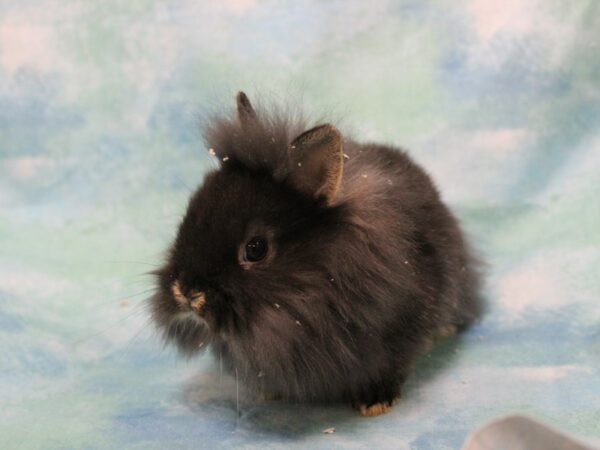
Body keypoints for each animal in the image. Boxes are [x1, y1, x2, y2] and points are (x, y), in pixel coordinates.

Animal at [151, 92, 482, 418]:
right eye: (188, 218)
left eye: (256, 249)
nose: (187, 292)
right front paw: (272, 393)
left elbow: (389, 366)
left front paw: (375, 402)